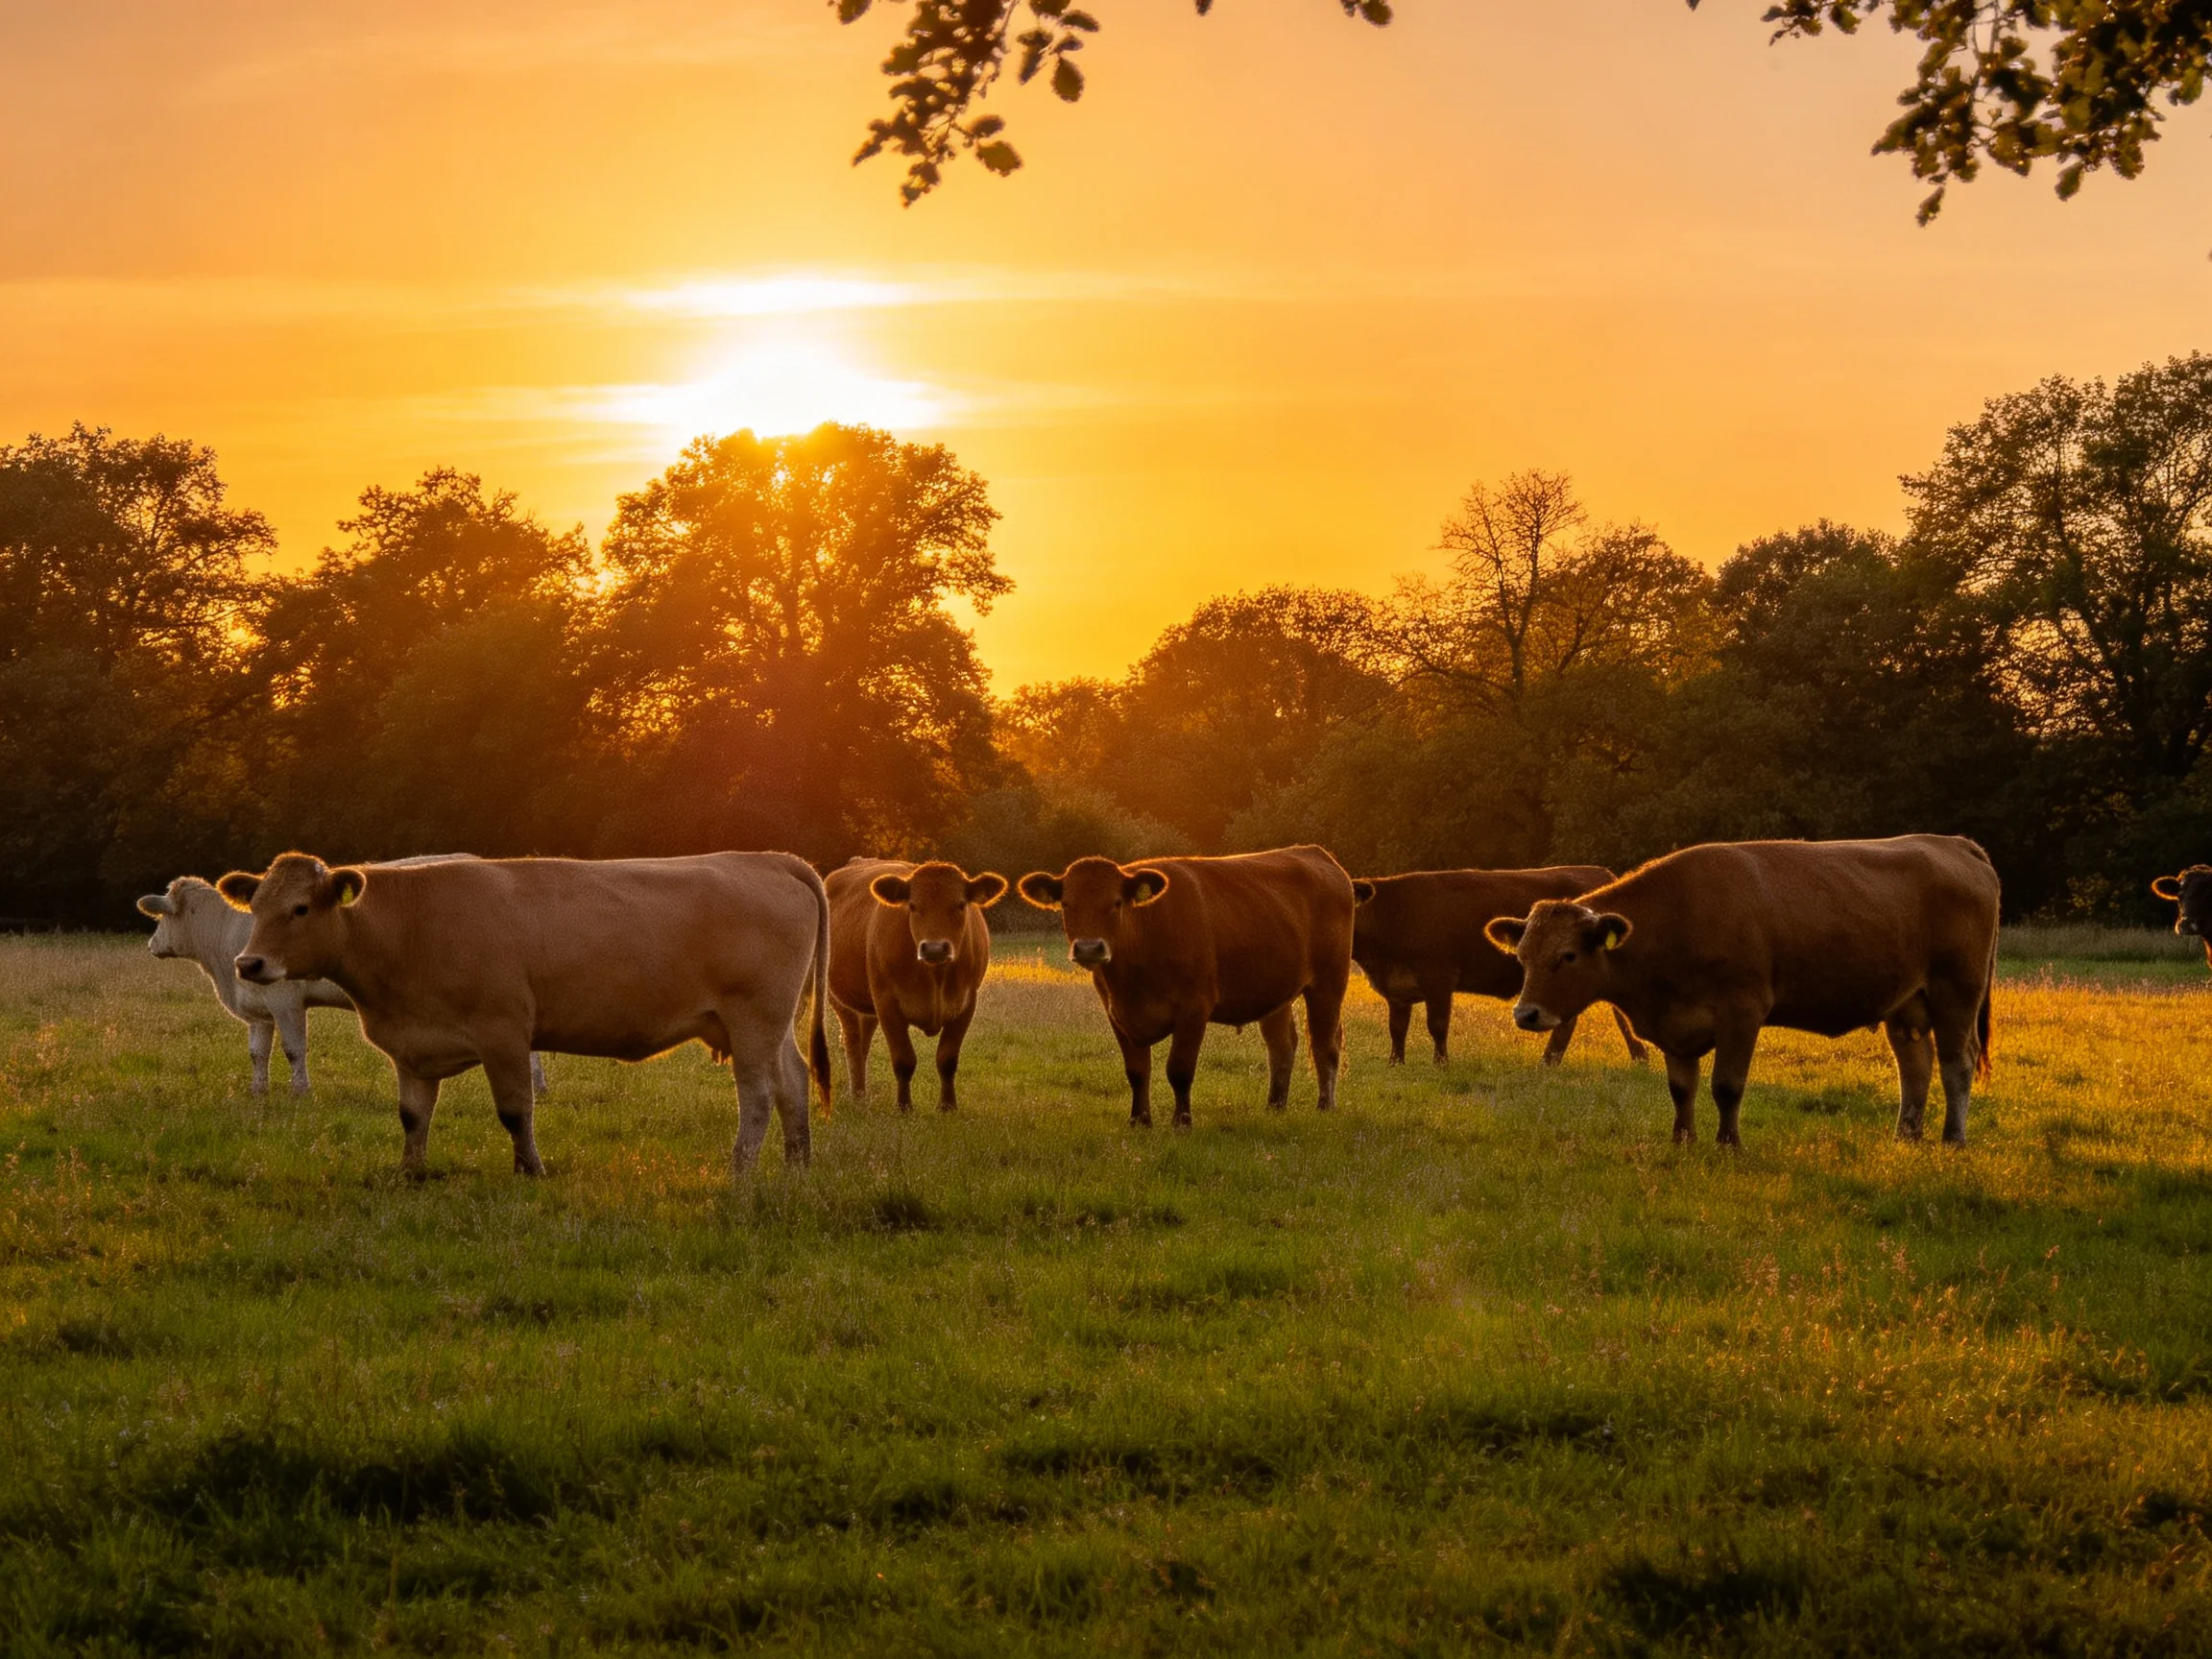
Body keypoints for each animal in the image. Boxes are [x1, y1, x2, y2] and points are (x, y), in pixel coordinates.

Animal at [216, 850, 830, 1178]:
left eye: (300, 909)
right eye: (256, 905)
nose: (249, 962)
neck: (411, 926)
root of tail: (766, 858)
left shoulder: (504, 1031)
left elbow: (515, 1110)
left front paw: (529, 1170)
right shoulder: (412, 1046)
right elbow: (412, 1116)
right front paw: (410, 1172)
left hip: (754, 1019)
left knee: (757, 1096)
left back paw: (740, 1169)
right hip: (770, 1026)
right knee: (793, 1083)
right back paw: (797, 1163)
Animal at [826, 857, 1007, 1110]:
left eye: (961, 905)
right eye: (912, 906)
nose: (934, 948)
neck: (935, 977)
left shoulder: (966, 1003)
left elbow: (947, 1059)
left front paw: (948, 1107)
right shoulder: (887, 1004)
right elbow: (904, 1060)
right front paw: (904, 1108)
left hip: (868, 1007)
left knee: (863, 1044)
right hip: (839, 999)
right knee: (852, 1043)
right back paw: (858, 1096)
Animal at [1017, 845, 1357, 1127]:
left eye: (1116, 902)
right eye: (1067, 904)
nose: (1089, 948)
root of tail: (1314, 853)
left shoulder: (1195, 1007)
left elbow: (1179, 1069)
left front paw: (1182, 1121)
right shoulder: (1117, 1013)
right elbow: (1137, 1071)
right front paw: (1139, 1121)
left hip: (1329, 983)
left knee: (1325, 1045)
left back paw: (1325, 1106)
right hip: (1275, 991)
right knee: (1282, 1046)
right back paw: (1275, 1106)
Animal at [1351, 867, 1649, 1066]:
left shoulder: (1439, 979)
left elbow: (1437, 1025)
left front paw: (1441, 1064)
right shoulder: (1397, 990)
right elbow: (1397, 1029)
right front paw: (1395, 1064)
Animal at [1483, 836, 2000, 1148]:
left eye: (1568, 955)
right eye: (1522, 955)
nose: (1527, 1014)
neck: (1675, 918)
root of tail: (1950, 843)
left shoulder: (1742, 1012)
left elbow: (1727, 1086)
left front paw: (1727, 1144)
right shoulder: (1675, 1025)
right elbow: (1681, 1088)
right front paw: (1682, 1140)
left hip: (1957, 992)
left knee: (1956, 1063)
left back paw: (1952, 1138)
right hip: (1907, 1004)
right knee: (1915, 1065)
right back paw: (1905, 1136)